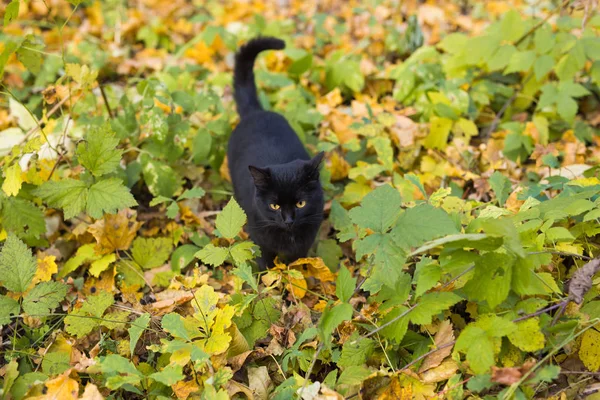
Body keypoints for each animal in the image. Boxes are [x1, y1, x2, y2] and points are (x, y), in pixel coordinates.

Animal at [227, 37, 326, 270]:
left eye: (300, 203)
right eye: (274, 205)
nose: (288, 220)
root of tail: (256, 112)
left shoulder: (305, 240)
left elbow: (296, 262)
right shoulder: (260, 239)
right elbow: (266, 263)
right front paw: (270, 277)